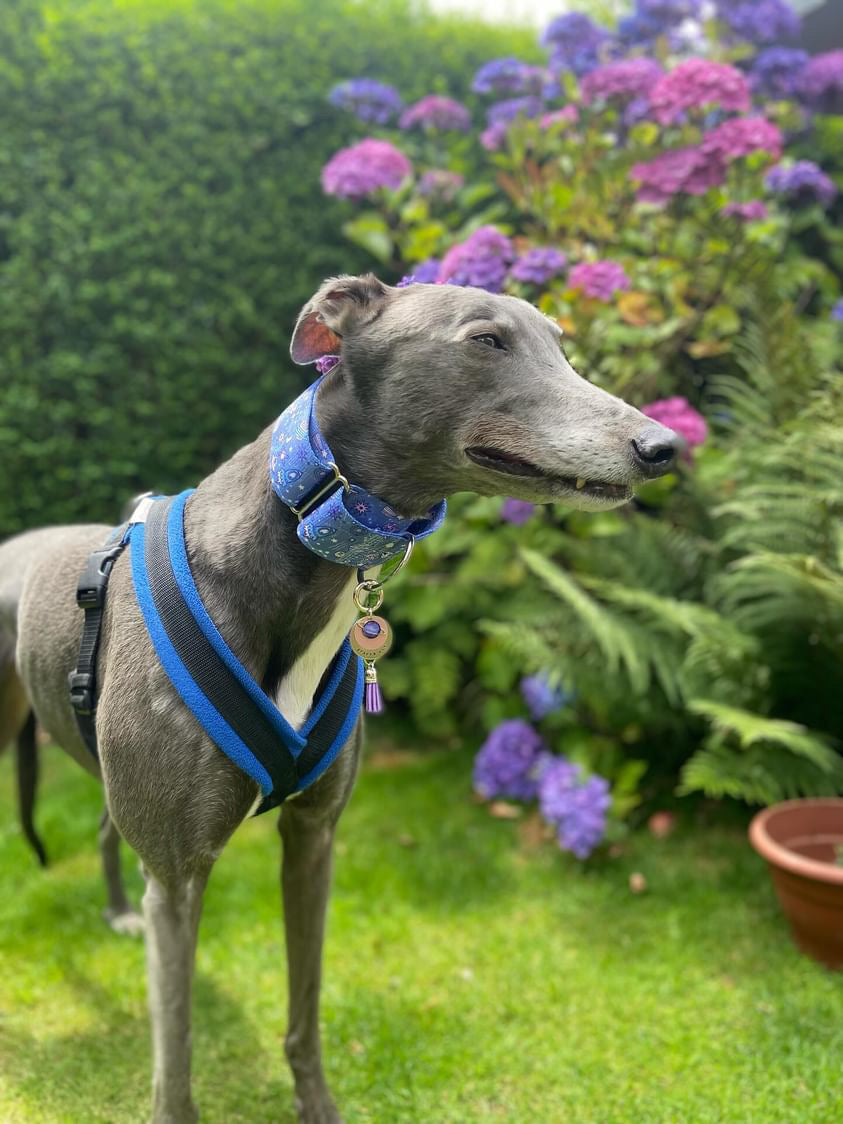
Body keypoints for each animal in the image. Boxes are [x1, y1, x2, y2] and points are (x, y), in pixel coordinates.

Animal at [0, 274, 678, 1124]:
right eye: (485, 340)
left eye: (562, 345)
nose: (663, 448)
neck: (293, 543)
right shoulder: (181, 874)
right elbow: (175, 1062)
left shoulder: (313, 837)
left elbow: (305, 1004)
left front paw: (316, 1103)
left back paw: (119, 910)